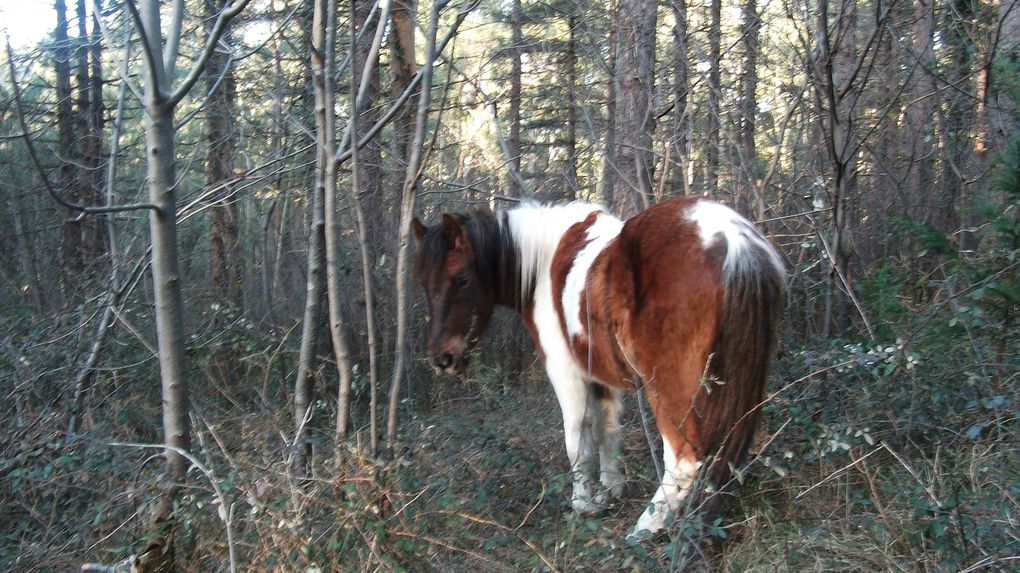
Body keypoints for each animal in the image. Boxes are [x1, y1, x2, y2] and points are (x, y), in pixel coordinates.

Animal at [410, 194, 783, 534]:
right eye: (424, 283)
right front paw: (610, 490)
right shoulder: (601, 378)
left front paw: (583, 504)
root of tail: (732, 240)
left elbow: (577, 441)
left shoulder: (567, 374)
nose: (442, 359)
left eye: (461, 279)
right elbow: (607, 430)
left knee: (684, 459)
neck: (542, 265)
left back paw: (647, 526)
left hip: (670, 388)